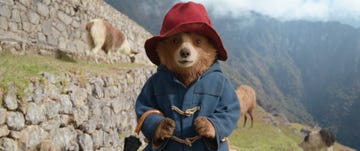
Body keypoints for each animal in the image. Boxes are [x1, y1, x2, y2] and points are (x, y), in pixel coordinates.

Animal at [136, 1, 240, 151]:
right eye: (175, 40)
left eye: (198, 41)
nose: (185, 52)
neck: (187, 75)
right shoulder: (152, 83)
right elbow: (146, 105)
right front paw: (164, 127)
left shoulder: (224, 84)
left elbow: (229, 107)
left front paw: (205, 126)